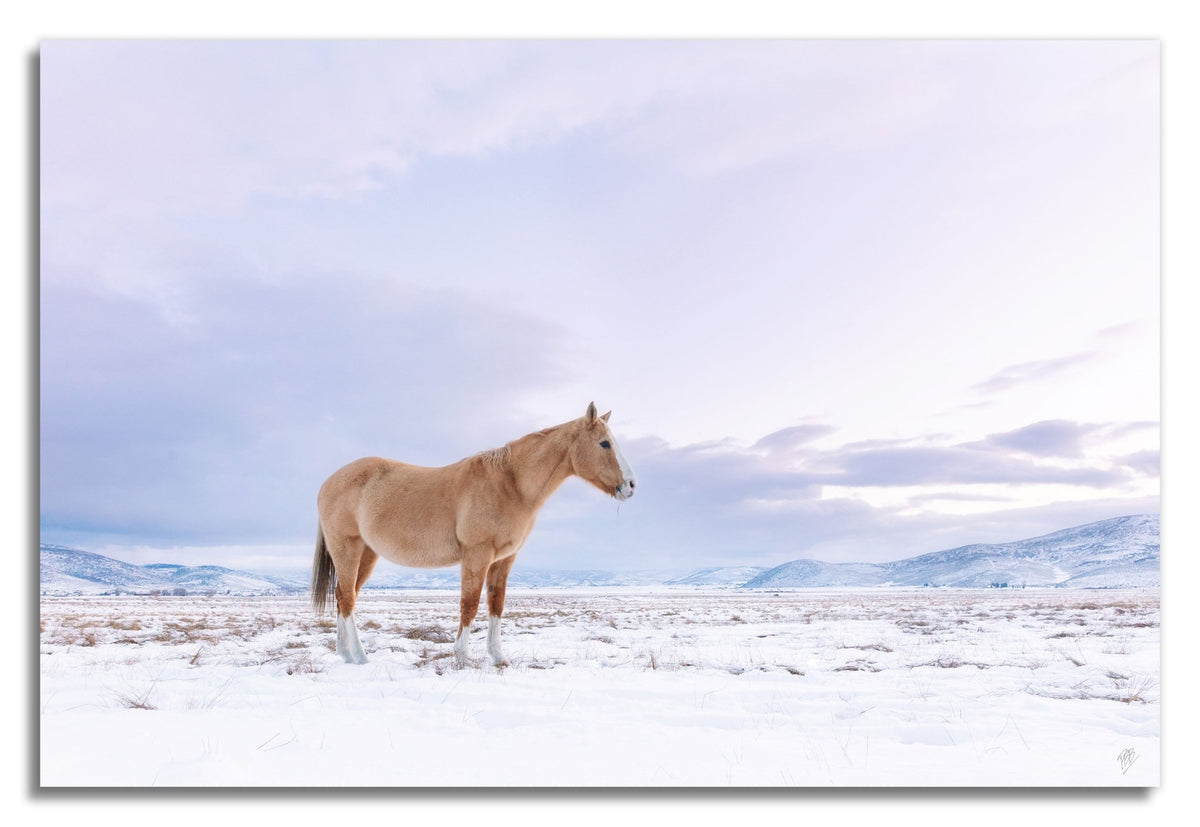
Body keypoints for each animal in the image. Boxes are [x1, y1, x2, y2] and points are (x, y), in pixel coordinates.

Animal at [309, 400, 638, 662]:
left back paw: (344, 653)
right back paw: (359, 655)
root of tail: (328, 482)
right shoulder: (477, 555)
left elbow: (496, 605)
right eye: (605, 443)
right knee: (348, 599)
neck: (511, 485)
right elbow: (469, 604)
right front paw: (462, 655)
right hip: (348, 549)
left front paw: (498, 656)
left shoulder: (503, 560)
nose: (631, 485)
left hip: (366, 554)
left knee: (344, 595)